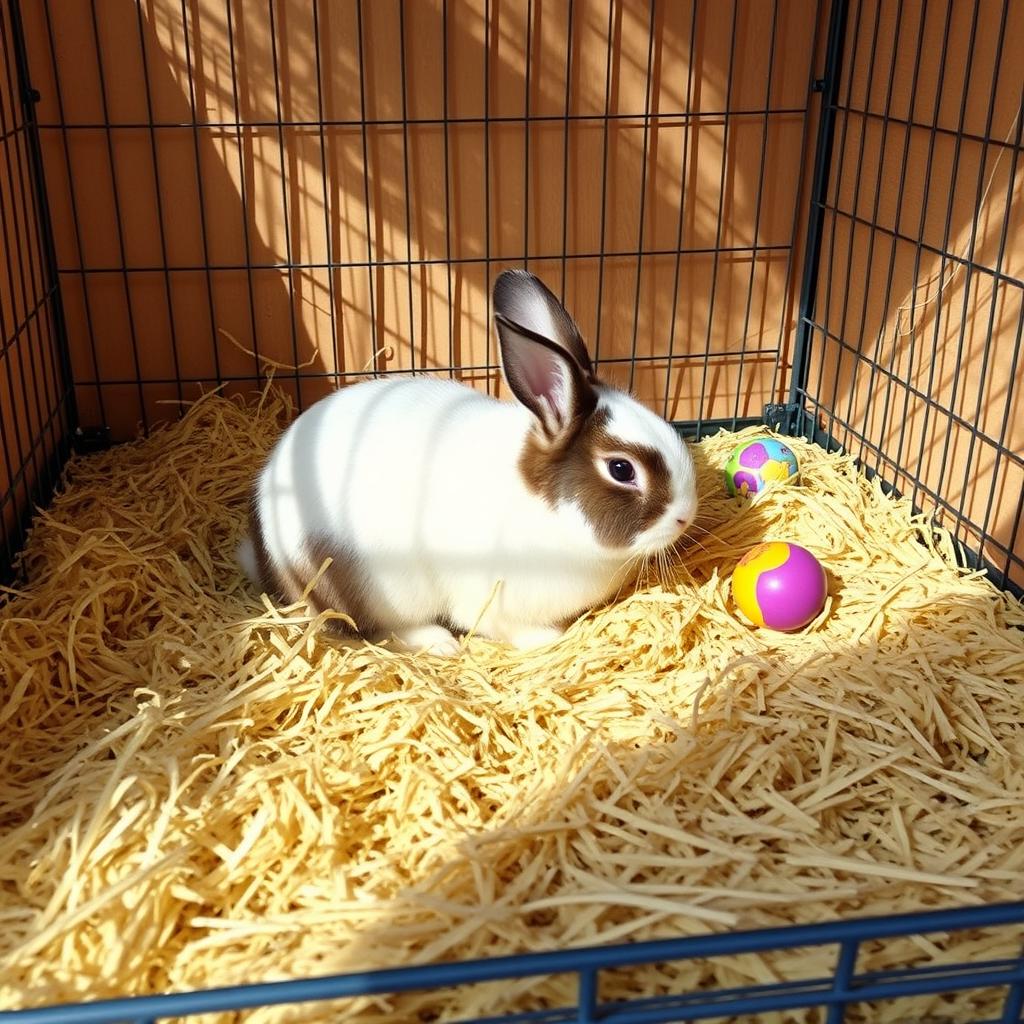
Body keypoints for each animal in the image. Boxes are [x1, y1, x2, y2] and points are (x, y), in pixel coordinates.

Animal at [237, 269, 698, 656]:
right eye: (622, 469)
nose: (685, 517)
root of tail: (265, 555)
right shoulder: (491, 596)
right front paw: (549, 640)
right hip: (379, 587)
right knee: (380, 626)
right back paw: (439, 642)